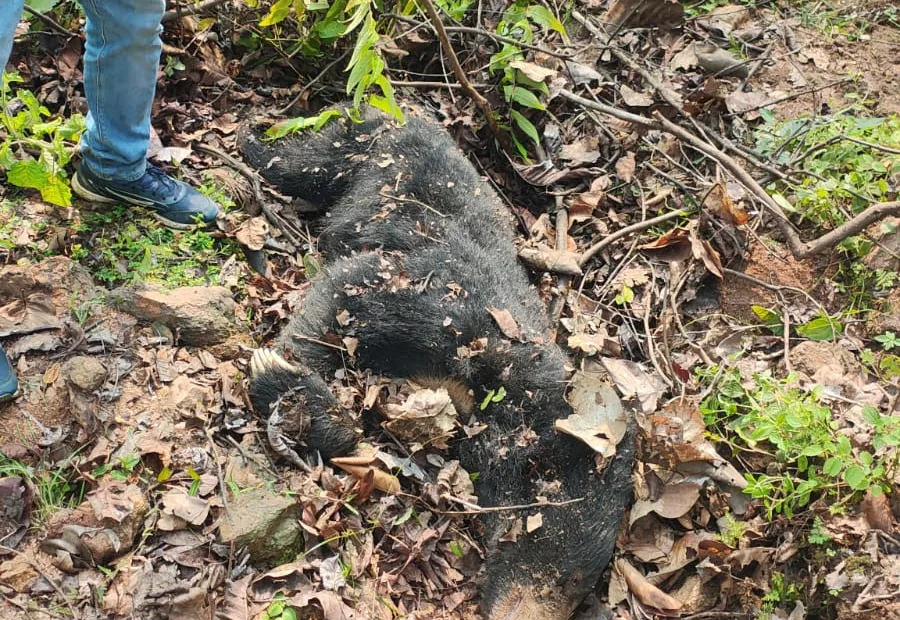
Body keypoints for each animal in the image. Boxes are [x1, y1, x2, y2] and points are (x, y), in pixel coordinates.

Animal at [240, 105, 634, 619]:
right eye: (532, 531)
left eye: (578, 585)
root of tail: (398, 110)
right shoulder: (442, 299)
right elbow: (348, 289)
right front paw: (280, 374)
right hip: (359, 151)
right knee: (298, 160)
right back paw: (250, 139)